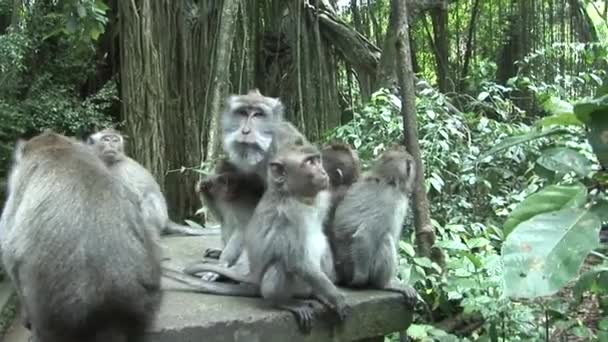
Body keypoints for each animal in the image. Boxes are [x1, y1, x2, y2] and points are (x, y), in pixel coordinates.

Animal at [164, 144, 350, 332]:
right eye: (309, 162)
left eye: (316, 160)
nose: (323, 172)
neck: (297, 197)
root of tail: (254, 281)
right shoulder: (287, 214)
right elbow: (298, 261)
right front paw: (337, 299)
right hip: (291, 286)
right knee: (280, 264)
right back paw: (282, 302)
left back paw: (319, 295)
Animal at [328, 146, 418, 306]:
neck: (388, 180)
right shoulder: (390, 200)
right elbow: (365, 234)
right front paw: (360, 279)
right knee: (385, 239)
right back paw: (385, 284)